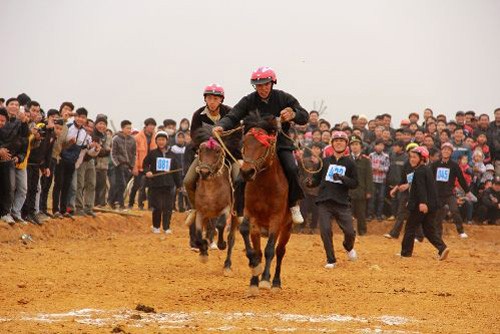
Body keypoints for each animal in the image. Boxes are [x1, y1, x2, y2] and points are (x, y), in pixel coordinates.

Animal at [192, 128, 239, 274]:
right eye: (200, 149)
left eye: (217, 151)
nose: (204, 172)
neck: (211, 190)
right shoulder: (200, 212)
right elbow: (198, 232)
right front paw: (203, 253)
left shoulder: (227, 209)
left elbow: (221, 225)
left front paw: (221, 244)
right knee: (209, 228)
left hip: (236, 215)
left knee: (231, 237)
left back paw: (227, 265)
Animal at [239, 113, 292, 296]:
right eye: (244, 143)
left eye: (264, 145)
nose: (247, 172)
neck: (264, 185)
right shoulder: (250, 213)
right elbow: (249, 239)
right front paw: (254, 275)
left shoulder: (276, 218)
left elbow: (270, 250)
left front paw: (265, 280)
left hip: (287, 227)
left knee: (280, 251)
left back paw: (275, 282)